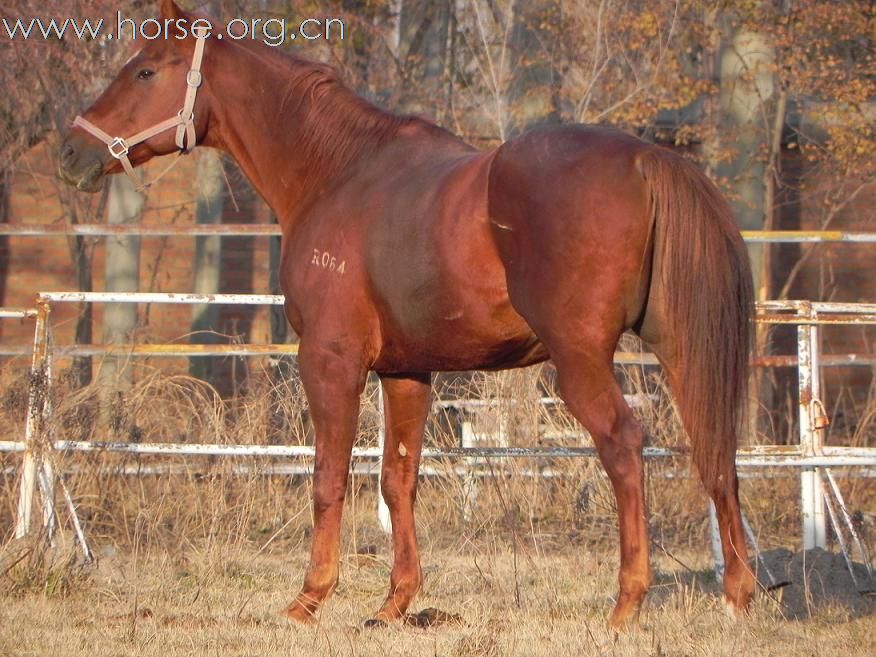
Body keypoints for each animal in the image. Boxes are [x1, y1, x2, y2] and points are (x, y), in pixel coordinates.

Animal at [58, 0, 756, 628]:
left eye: (145, 71)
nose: (69, 154)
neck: (338, 173)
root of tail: (647, 158)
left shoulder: (331, 362)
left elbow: (329, 478)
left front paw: (308, 600)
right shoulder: (407, 373)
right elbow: (399, 481)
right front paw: (394, 603)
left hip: (581, 362)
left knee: (624, 447)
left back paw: (627, 603)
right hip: (682, 350)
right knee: (714, 449)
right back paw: (739, 593)